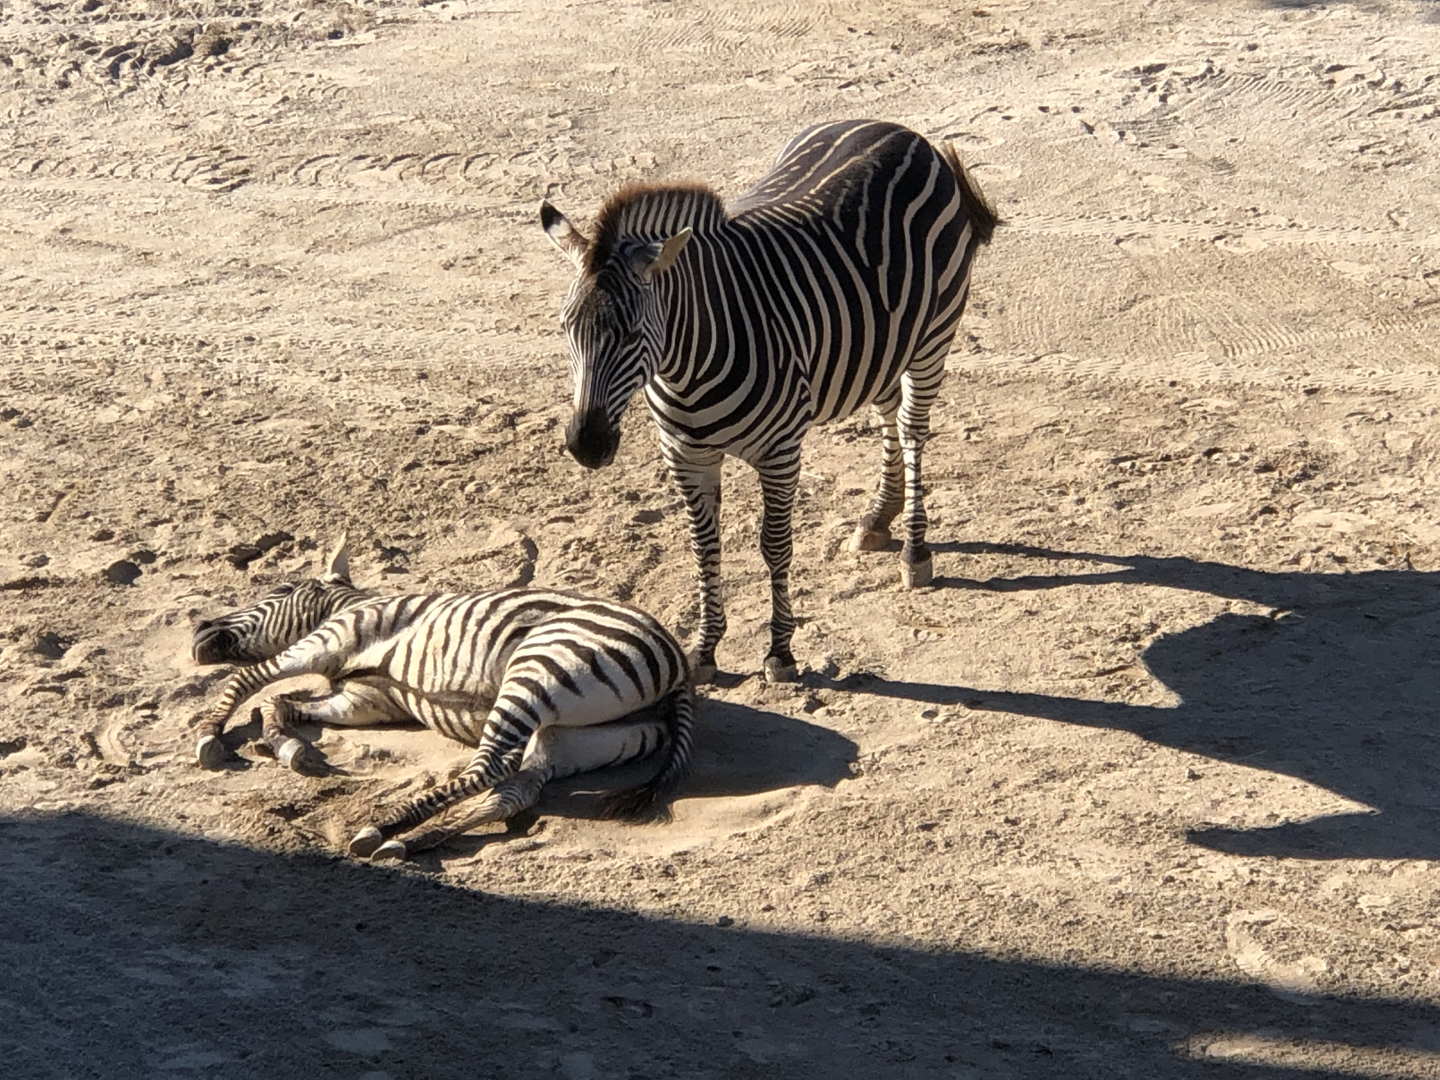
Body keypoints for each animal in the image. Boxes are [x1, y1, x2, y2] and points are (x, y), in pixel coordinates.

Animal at [190, 538, 695, 861]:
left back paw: (384, 827)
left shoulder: (333, 636)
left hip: (536, 670)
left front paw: (211, 736)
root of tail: (680, 668)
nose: (198, 629)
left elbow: (250, 679)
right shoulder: (363, 700)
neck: (346, 605)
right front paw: (290, 747)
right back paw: (409, 839)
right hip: (586, 737)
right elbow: (279, 703)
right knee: (514, 792)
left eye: (279, 589)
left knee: (488, 768)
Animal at [540, 119, 996, 685]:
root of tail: (900, 131)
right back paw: (877, 519)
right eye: (565, 329)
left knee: (913, 429)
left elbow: (774, 545)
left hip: (933, 335)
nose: (587, 444)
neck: (686, 367)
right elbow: (704, 546)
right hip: (882, 338)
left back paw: (914, 550)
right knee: (888, 411)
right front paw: (705, 648)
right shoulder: (686, 456)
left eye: (629, 334)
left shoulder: (780, 453)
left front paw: (780, 652)